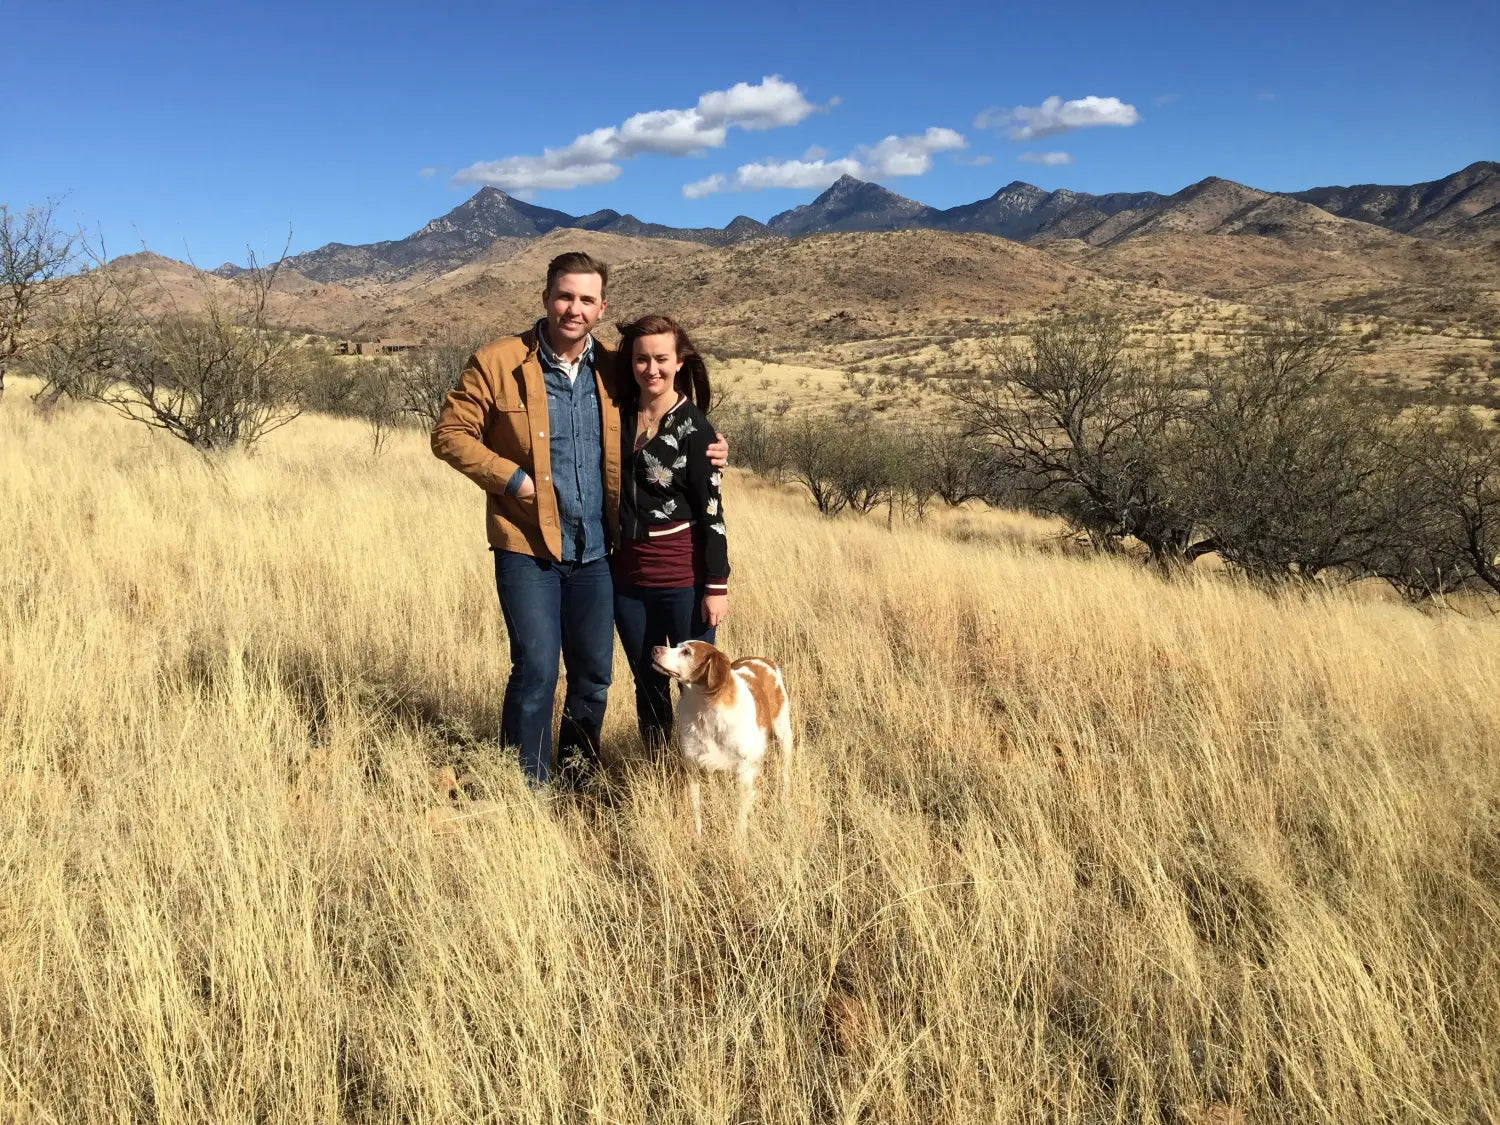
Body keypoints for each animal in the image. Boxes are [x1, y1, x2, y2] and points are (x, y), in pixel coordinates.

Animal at [654, 642, 798, 840]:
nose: (654, 649)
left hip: (783, 734)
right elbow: (696, 808)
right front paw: (699, 837)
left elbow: (740, 813)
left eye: (687, 652)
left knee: (784, 774)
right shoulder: (693, 766)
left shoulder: (744, 771)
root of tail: (764, 660)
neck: (704, 709)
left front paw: (739, 840)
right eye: (676, 646)